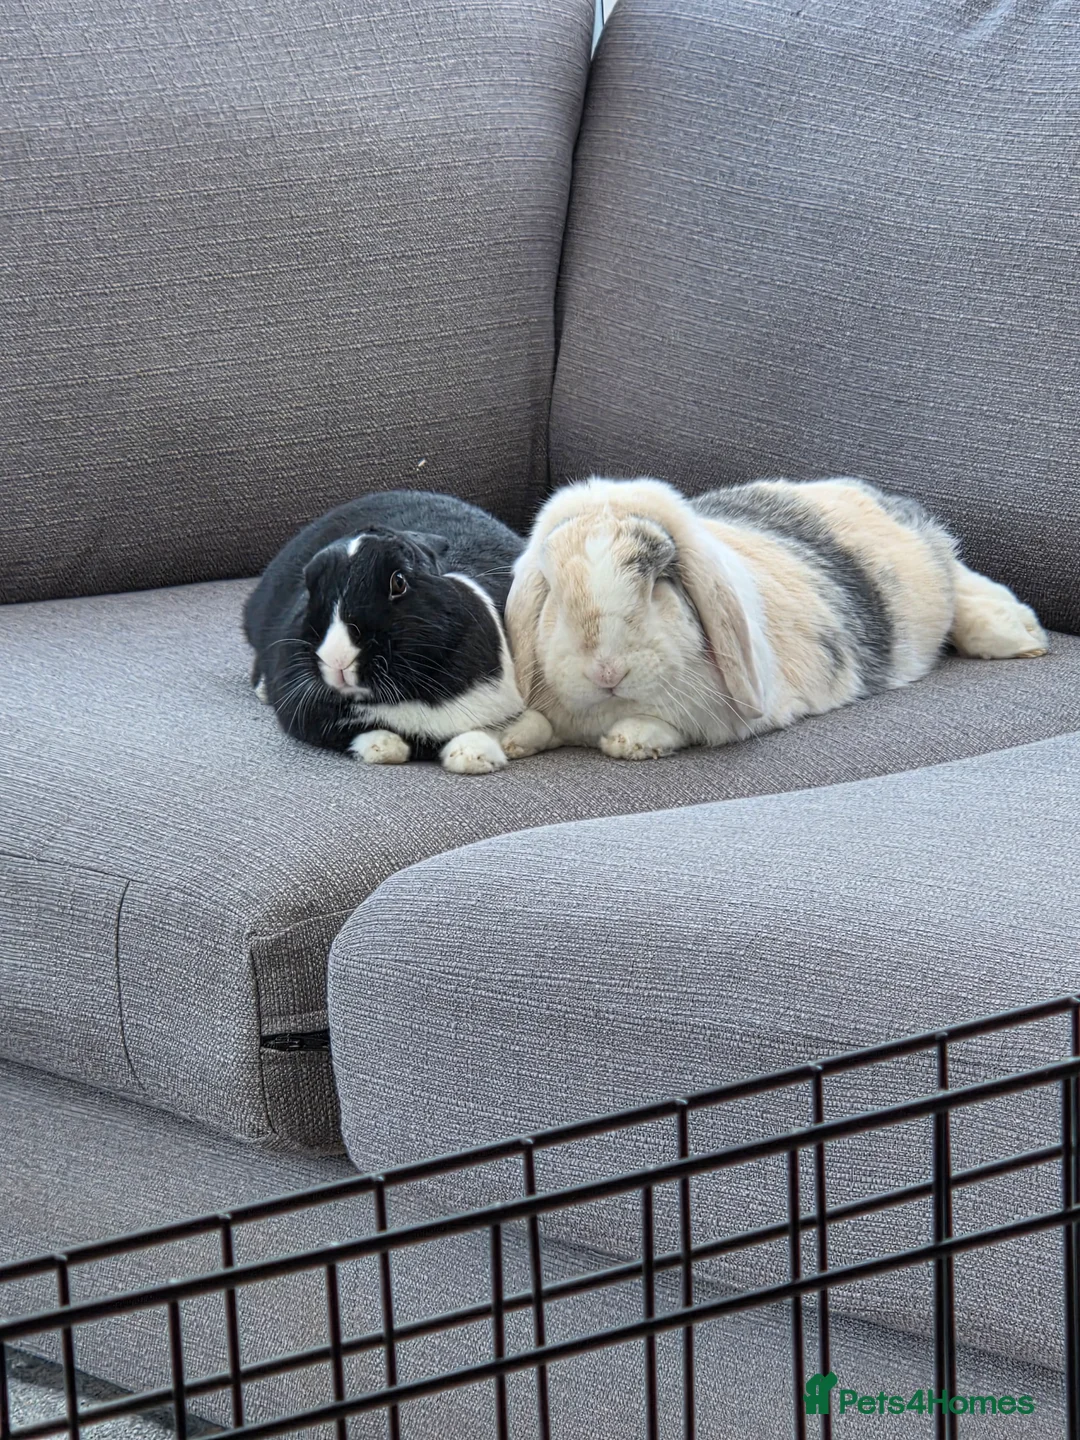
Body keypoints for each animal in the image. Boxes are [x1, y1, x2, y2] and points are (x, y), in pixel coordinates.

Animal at [501, 475, 1050, 761]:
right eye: (553, 592)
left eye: (658, 583)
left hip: (935, 580)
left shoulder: (733, 714)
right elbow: (538, 724)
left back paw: (1023, 637)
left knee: (963, 579)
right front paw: (511, 738)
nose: (607, 670)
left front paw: (630, 740)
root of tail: (875, 495)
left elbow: (677, 725)